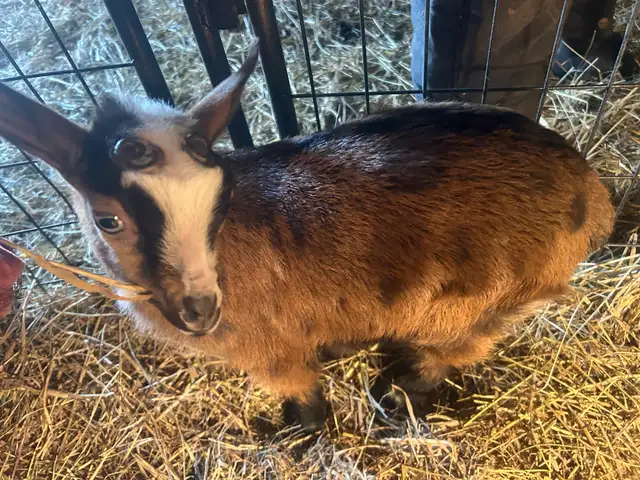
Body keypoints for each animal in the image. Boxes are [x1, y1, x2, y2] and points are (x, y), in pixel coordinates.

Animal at [0, 43, 615, 431]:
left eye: (220, 199)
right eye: (108, 220)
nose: (202, 309)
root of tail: (593, 192)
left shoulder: (271, 350)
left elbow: (309, 406)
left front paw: (290, 431)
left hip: (483, 303)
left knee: (449, 352)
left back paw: (399, 397)